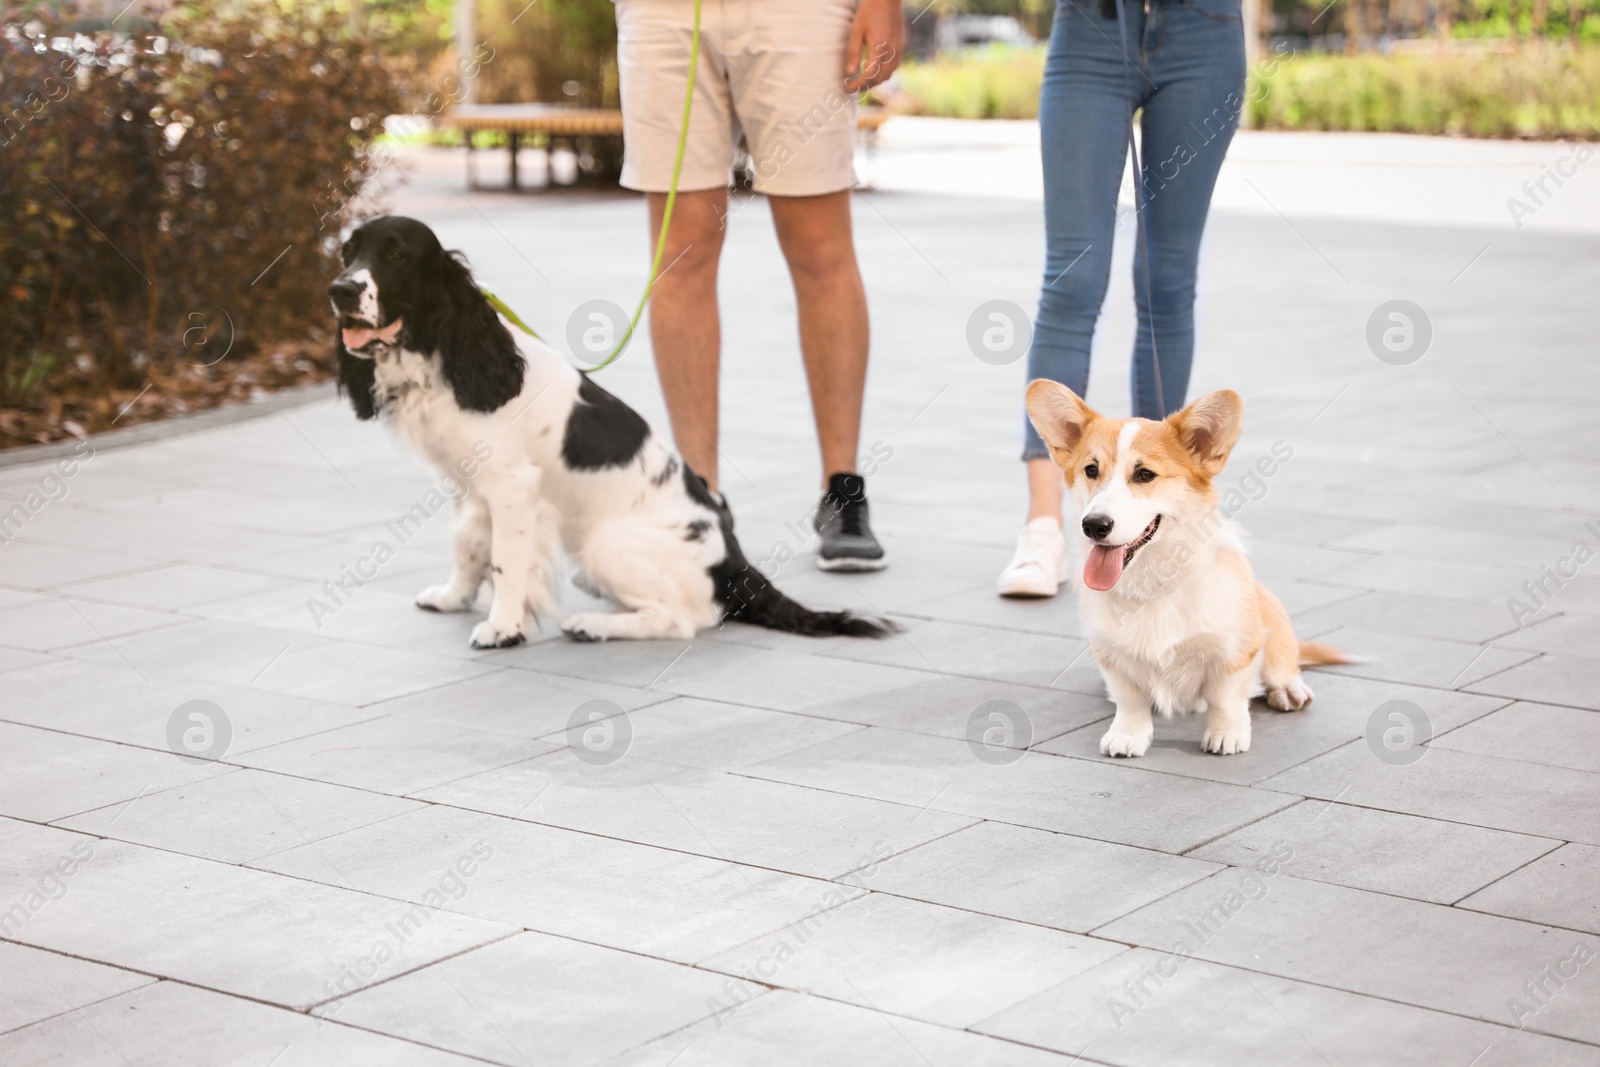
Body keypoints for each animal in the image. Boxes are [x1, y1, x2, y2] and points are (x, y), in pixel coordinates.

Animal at [329, 214, 896, 646]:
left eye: (396, 255)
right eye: (347, 253)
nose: (340, 290)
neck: (447, 355)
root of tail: (735, 567)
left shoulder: (512, 487)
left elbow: (506, 562)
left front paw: (502, 628)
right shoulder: (468, 487)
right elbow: (469, 545)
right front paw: (453, 598)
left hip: (602, 546)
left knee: (686, 620)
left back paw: (592, 625)